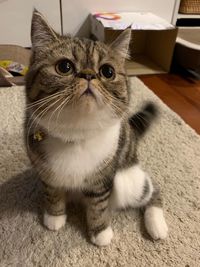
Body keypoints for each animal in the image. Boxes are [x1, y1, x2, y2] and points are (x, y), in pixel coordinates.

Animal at [25, 9, 169, 249]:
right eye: (64, 67)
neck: (76, 133)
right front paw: (54, 217)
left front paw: (100, 232)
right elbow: (53, 194)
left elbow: (98, 207)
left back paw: (157, 225)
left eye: (107, 71)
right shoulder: (47, 173)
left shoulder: (102, 180)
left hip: (128, 181)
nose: (89, 74)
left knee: (152, 189)